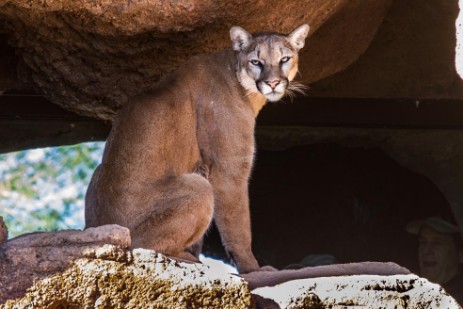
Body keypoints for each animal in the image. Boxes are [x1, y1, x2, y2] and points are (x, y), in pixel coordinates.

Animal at [87, 23, 312, 272]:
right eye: (256, 61)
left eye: (285, 59)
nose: (272, 83)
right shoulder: (229, 169)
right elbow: (238, 225)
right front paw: (252, 268)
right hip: (198, 188)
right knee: (139, 246)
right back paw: (187, 258)